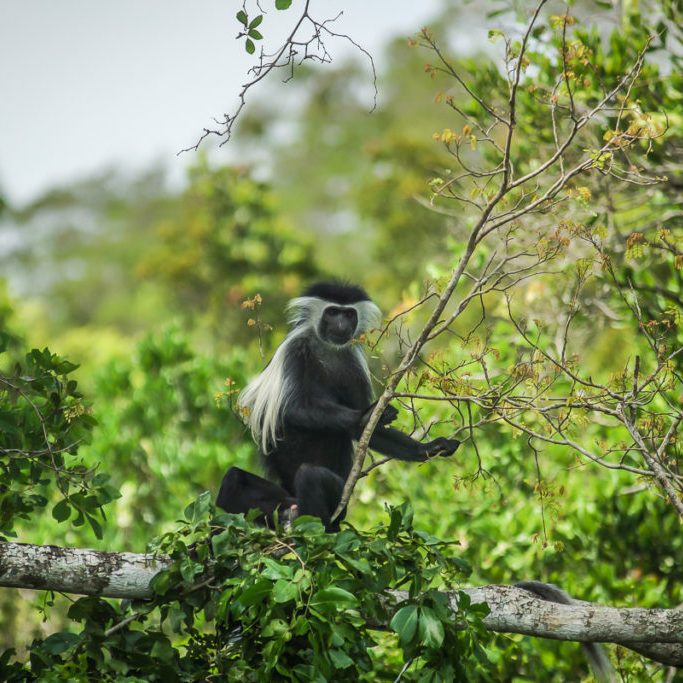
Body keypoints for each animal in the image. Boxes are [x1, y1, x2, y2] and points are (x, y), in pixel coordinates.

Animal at [216, 280, 462, 532]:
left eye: (349, 314)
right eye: (333, 312)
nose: (342, 325)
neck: (328, 350)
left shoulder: (353, 365)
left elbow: (368, 434)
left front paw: (428, 448)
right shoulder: (294, 351)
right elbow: (292, 409)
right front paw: (366, 415)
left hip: (337, 494)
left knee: (310, 477)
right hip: (282, 496)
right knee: (233, 483)